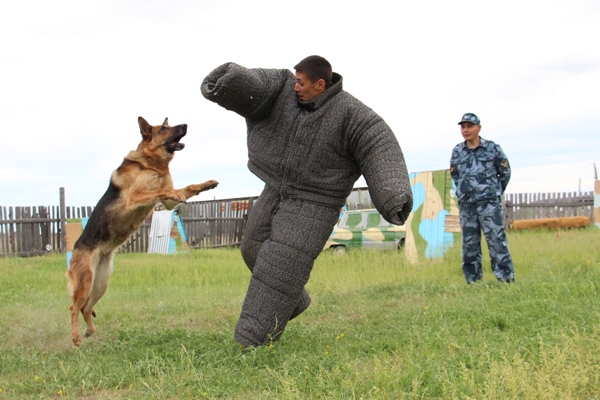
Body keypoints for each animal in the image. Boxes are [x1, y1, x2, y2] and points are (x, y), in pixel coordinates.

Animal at [68, 115, 218, 344]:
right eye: (164, 128)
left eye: (169, 125)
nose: (185, 125)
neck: (153, 164)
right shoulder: (134, 198)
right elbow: (161, 190)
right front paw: (176, 192)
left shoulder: (167, 205)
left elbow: (186, 188)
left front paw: (206, 184)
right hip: (85, 283)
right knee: (74, 307)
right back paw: (76, 336)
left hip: (100, 284)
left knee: (86, 308)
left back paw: (89, 331)